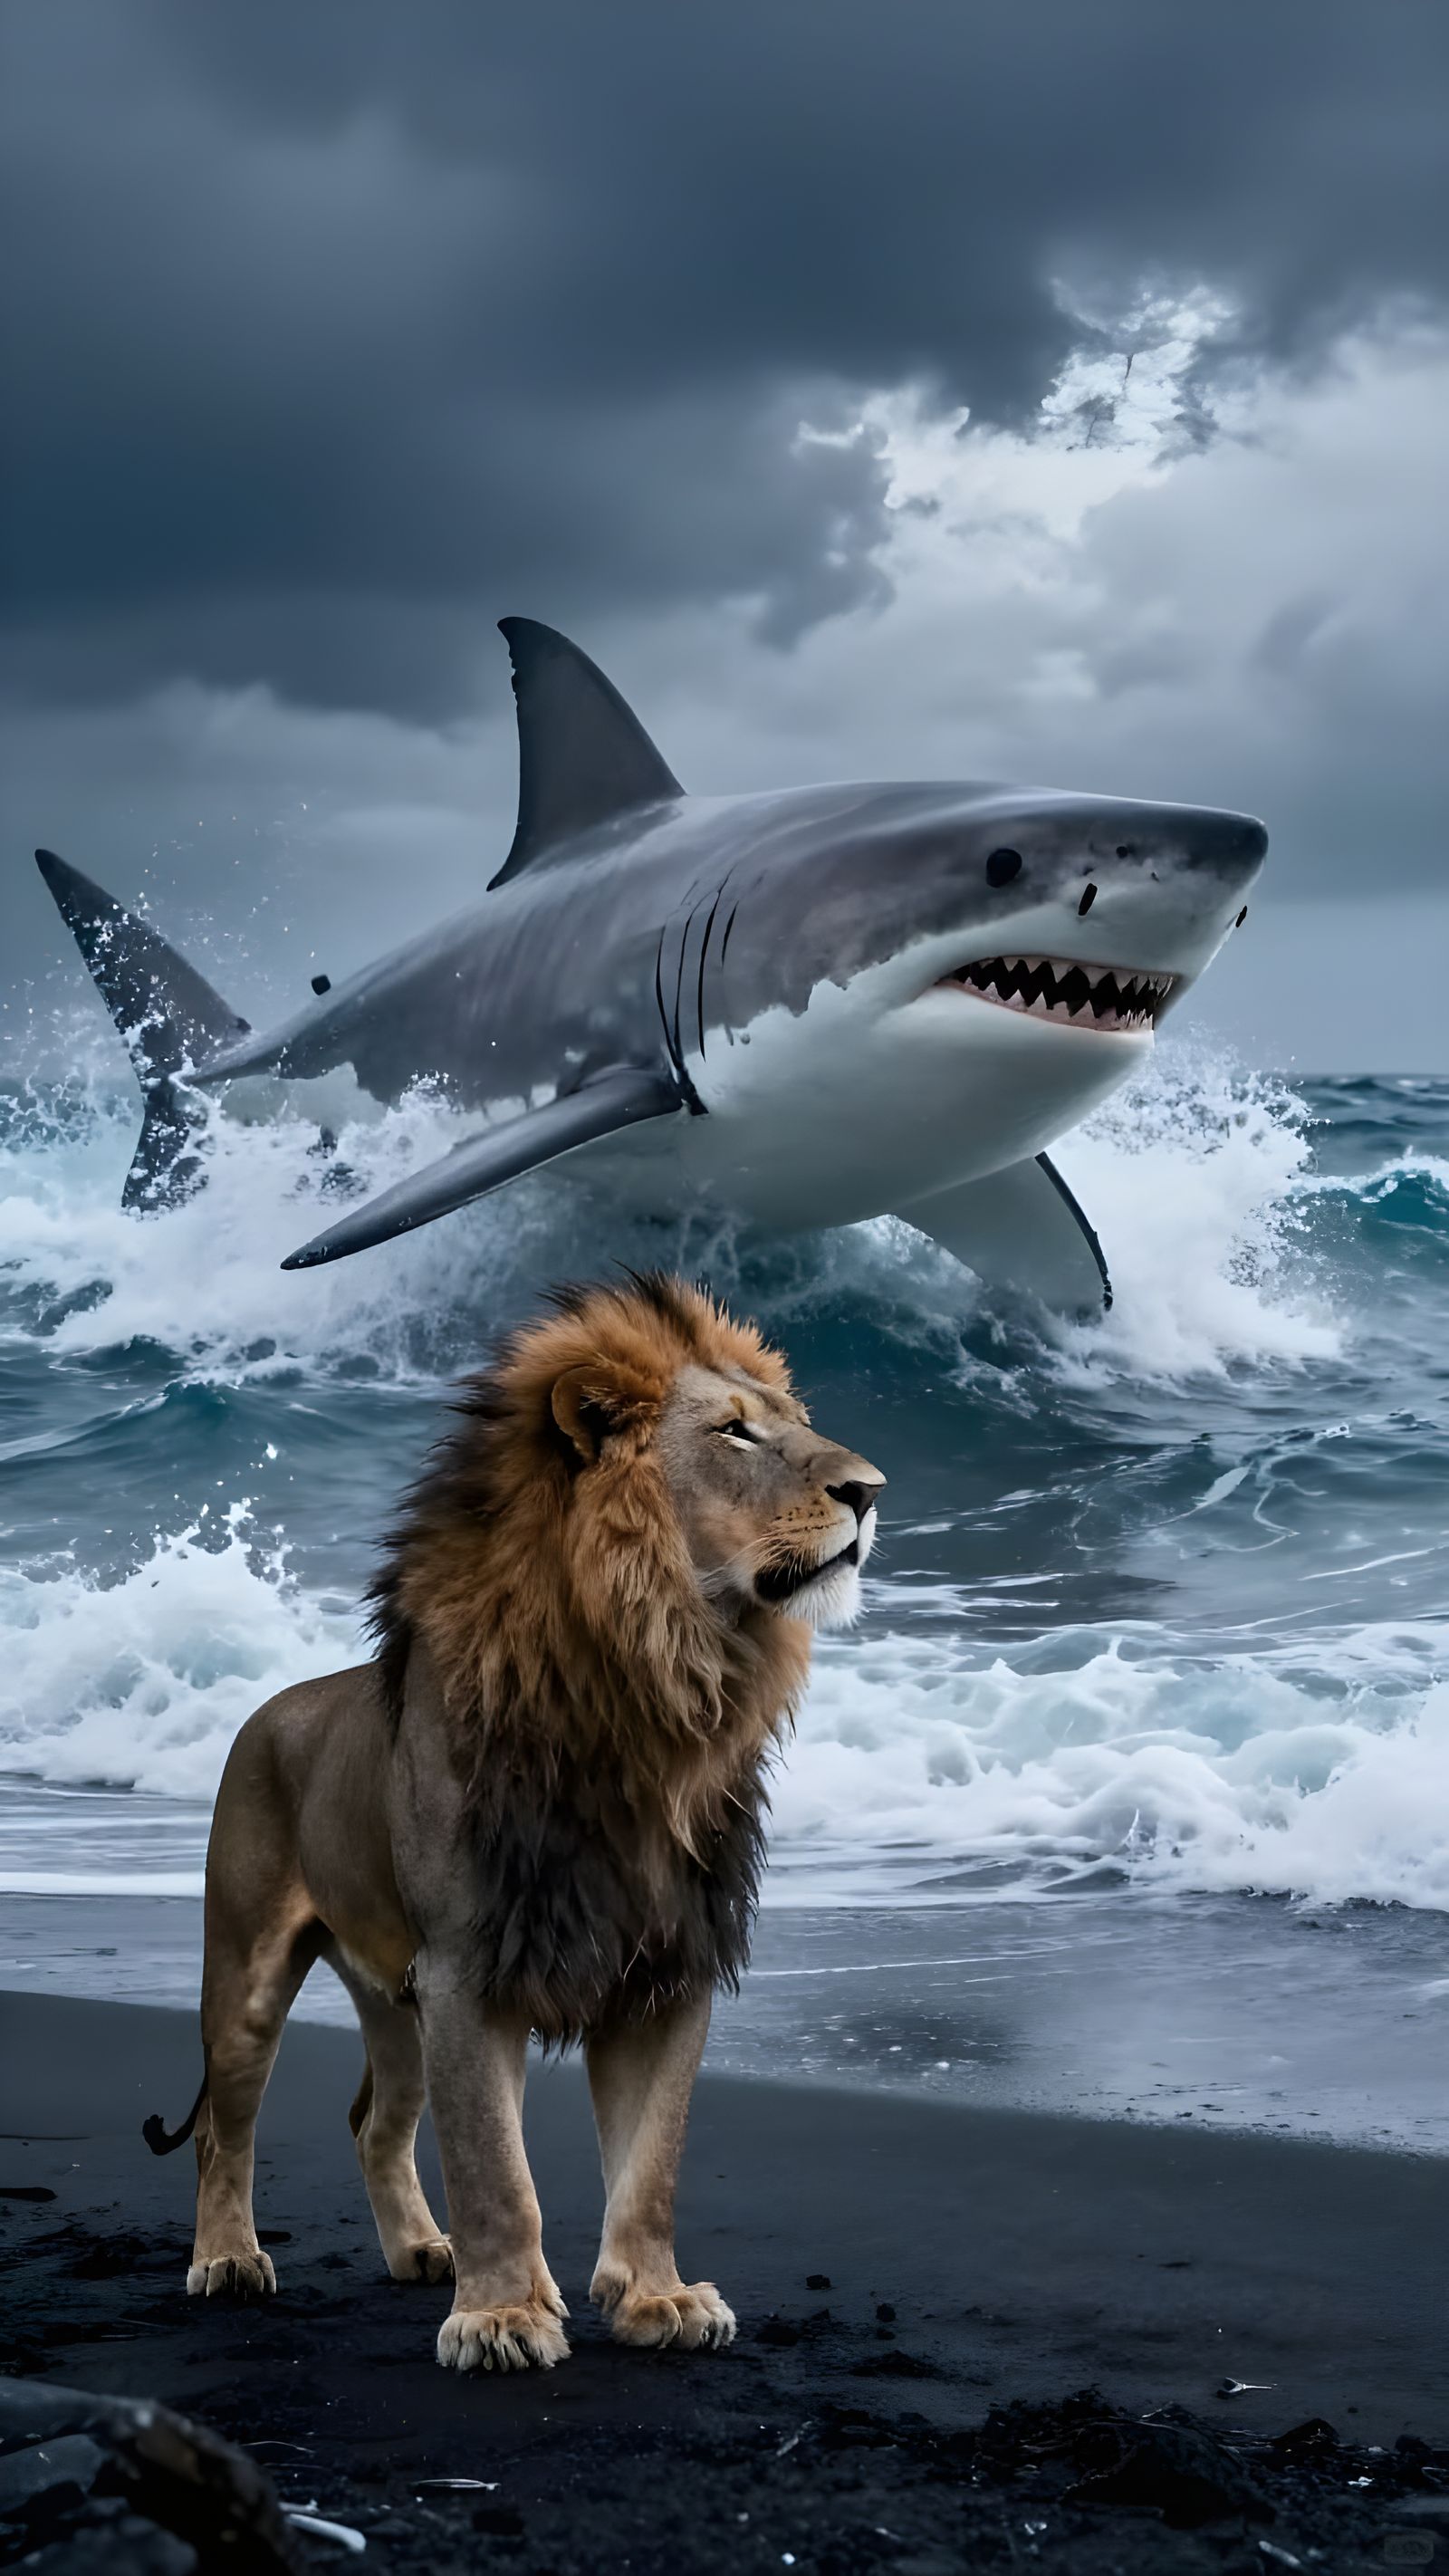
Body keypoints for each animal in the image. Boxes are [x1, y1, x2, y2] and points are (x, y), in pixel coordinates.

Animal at [144, 1273, 884, 2373]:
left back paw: (419, 2252)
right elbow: (495, 2169)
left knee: (373, 2121)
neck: (655, 1685)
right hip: (248, 1977)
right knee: (220, 2130)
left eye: (794, 1422)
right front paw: (500, 2319)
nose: (871, 1490)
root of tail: (272, 1707)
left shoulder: (668, 1966)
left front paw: (657, 2298)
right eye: (734, 1433)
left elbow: (652, 2164)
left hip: (394, 2000)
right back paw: (228, 2260)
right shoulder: (469, 1966)